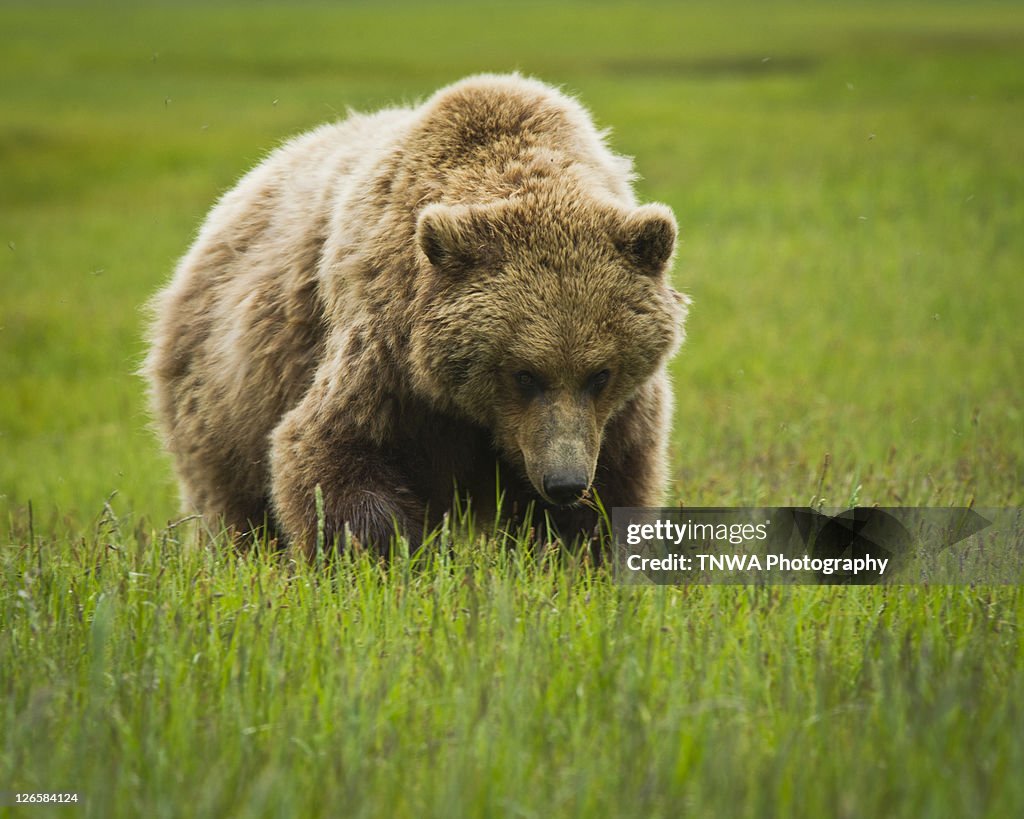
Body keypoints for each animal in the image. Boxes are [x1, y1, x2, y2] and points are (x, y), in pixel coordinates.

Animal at [142, 75, 688, 556]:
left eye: (600, 374)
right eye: (523, 374)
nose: (564, 481)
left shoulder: (614, 417)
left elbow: (614, 489)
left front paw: (578, 554)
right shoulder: (388, 357)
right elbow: (331, 451)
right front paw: (395, 556)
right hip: (224, 394)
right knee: (233, 504)